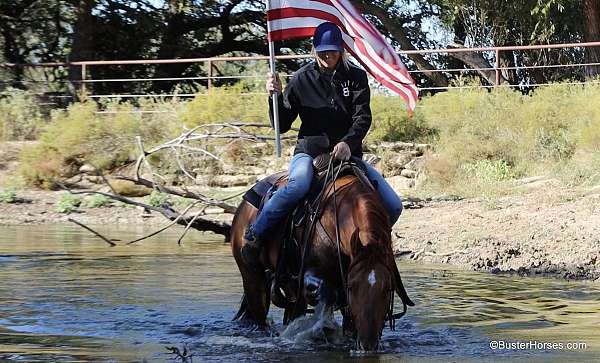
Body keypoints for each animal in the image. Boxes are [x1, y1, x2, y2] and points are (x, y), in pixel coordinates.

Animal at [230, 169, 412, 352]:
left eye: (388, 289)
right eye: (352, 287)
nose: (368, 344)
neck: (337, 216)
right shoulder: (311, 274)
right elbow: (326, 293)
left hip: (289, 285)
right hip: (252, 279)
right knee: (261, 316)